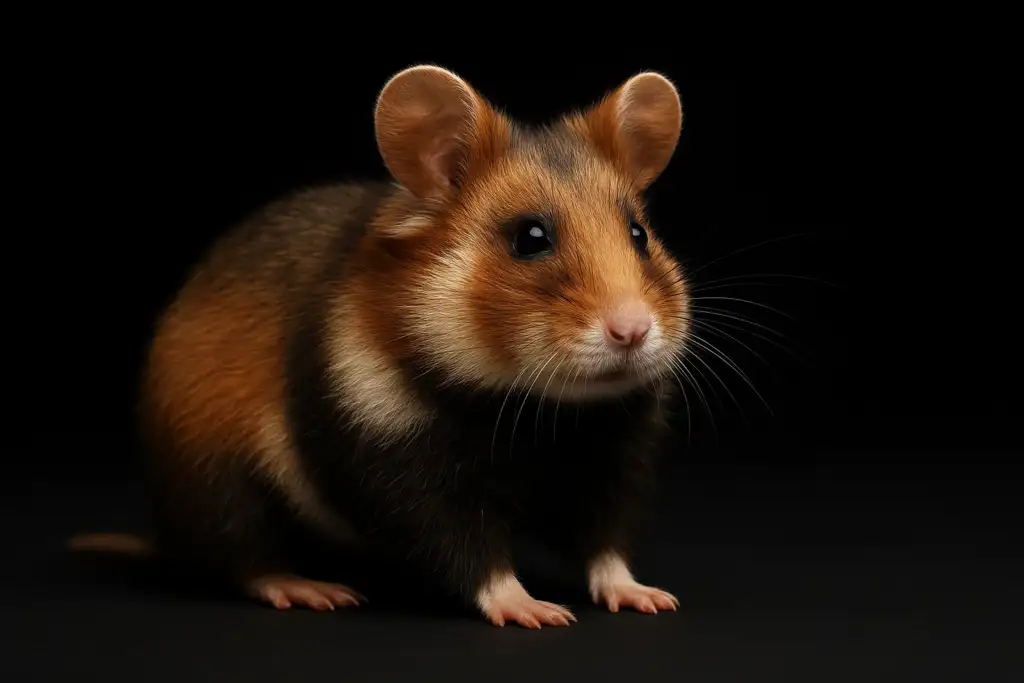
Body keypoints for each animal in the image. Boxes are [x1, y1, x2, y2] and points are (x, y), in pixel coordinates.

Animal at [72, 64, 689, 628]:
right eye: (530, 238)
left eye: (639, 235)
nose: (633, 330)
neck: (538, 409)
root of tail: (170, 537)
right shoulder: (389, 448)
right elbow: (467, 550)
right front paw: (536, 610)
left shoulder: (613, 456)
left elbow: (605, 544)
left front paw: (650, 597)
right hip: (216, 479)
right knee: (245, 557)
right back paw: (314, 589)